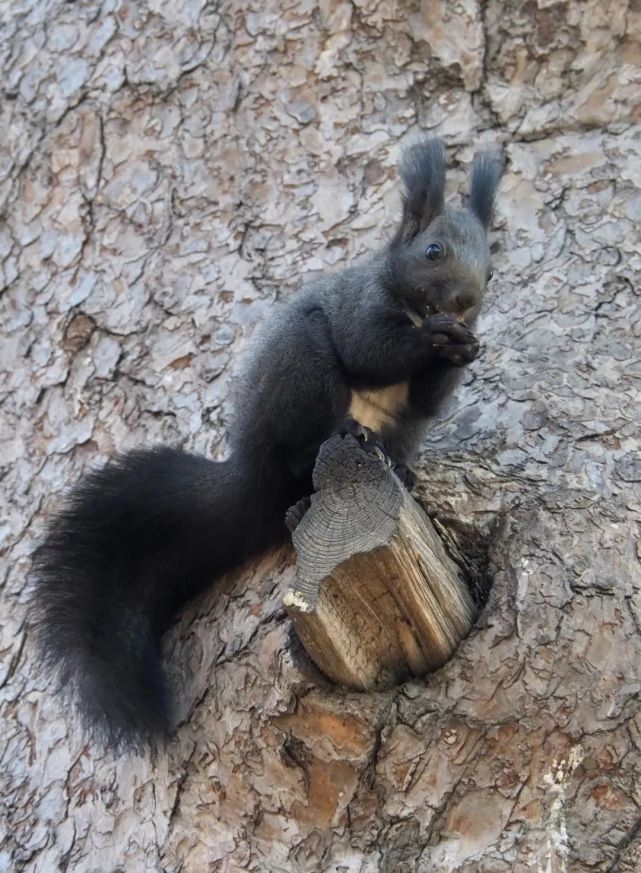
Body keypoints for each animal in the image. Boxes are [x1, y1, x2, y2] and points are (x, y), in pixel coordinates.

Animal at [31, 138, 500, 748]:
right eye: (433, 250)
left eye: (490, 269)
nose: (466, 299)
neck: (413, 306)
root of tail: (250, 474)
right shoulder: (360, 305)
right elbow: (371, 350)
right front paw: (436, 339)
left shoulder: (422, 394)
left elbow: (425, 400)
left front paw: (465, 347)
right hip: (302, 368)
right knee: (302, 444)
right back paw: (341, 436)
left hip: (392, 430)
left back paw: (399, 468)